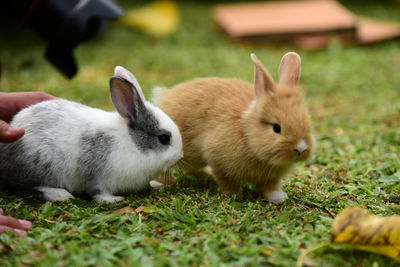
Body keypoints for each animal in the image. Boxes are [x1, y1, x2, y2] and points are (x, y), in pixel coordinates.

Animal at [0, 66, 184, 203]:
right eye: (164, 138)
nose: (180, 156)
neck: (132, 143)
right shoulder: (96, 176)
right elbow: (98, 193)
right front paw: (114, 199)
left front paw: (155, 184)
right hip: (39, 167)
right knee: (27, 186)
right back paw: (59, 194)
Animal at [153, 51, 312, 203]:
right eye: (276, 128)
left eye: (307, 122)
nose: (301, 148)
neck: (247, 133)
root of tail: (164, 97)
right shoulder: (220, 162)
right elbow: (227, 181)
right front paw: (234, 196)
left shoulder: (270, 177)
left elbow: (270, 187)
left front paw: (278, 198)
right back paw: (162, 183)